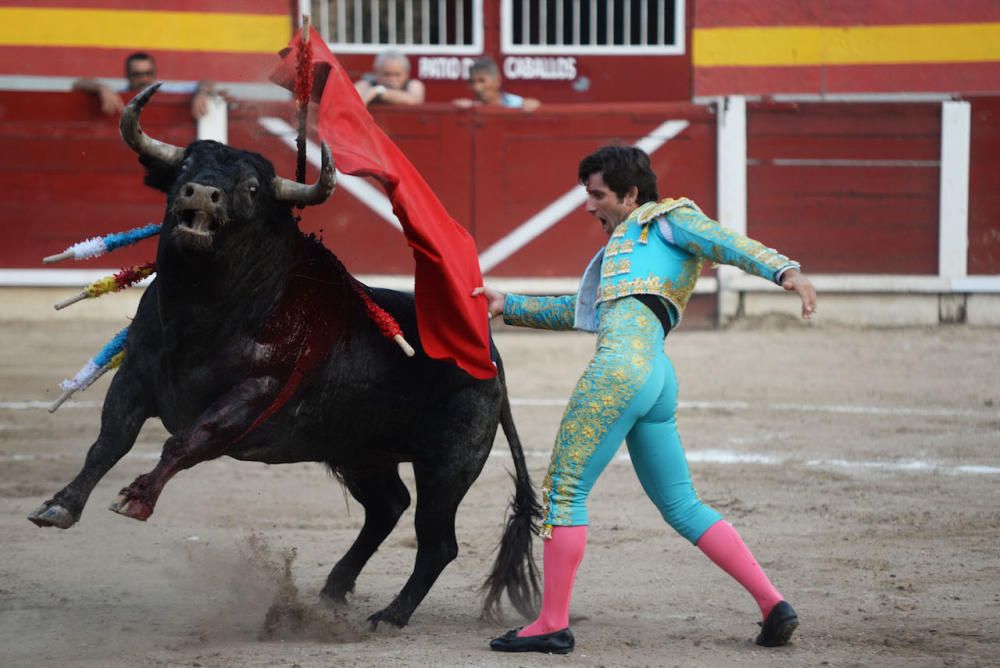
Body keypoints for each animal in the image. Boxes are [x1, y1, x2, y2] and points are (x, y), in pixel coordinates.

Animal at [27, 83, 540, 628]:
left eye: (252, 188)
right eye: (185, 166)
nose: (201, 193)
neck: (200, 313)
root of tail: (488, 355)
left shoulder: (253, 394)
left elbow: (184, 442)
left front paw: (138, 498)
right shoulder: (136, 377)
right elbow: (109, 441)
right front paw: (59, 506)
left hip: (448, 463)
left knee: (437, 541)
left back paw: (390, 615)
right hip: (360, 451)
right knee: (388, 507)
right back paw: (334, 589)